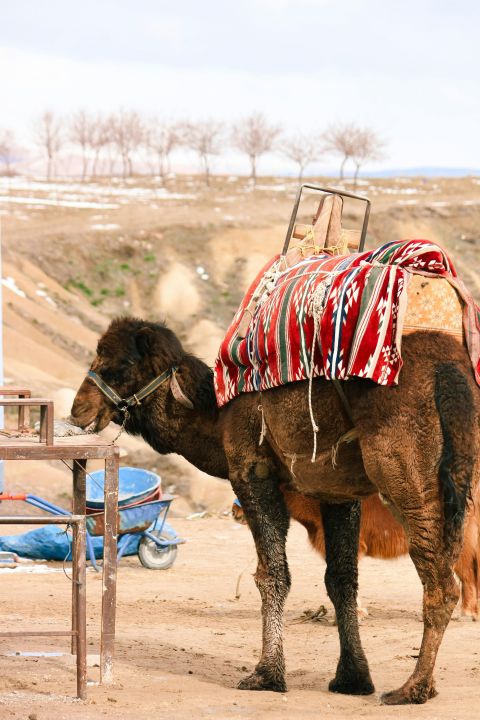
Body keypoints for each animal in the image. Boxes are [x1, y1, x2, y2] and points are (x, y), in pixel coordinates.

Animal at [70, 317, 480, 705]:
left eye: (121, 365)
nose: (79, 408)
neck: (218, 417)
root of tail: (449, 369)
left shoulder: (253, 472)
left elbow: (272, 575)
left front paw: (266, 674)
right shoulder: (337, 493)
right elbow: (342, 579)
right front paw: (352, 678)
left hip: (409, 480)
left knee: (442, 584)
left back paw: (414, 688)